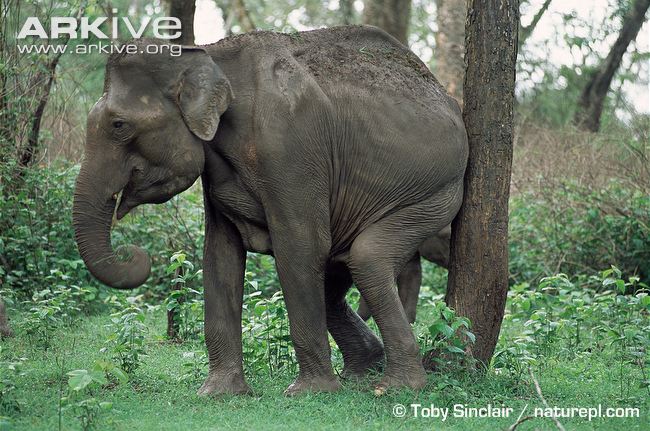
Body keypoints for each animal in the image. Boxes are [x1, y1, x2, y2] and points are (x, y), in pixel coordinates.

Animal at [72, 26, 468, 396]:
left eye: (119, 125)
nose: (133, 253)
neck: (205, 53)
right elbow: (220, 255)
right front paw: (219, 394)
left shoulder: (290, 146)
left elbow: (301, 246)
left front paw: (308, 393)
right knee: (336, 274)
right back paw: (363, 372)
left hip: (436, 193)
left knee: (366, 258)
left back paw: (397, 386)